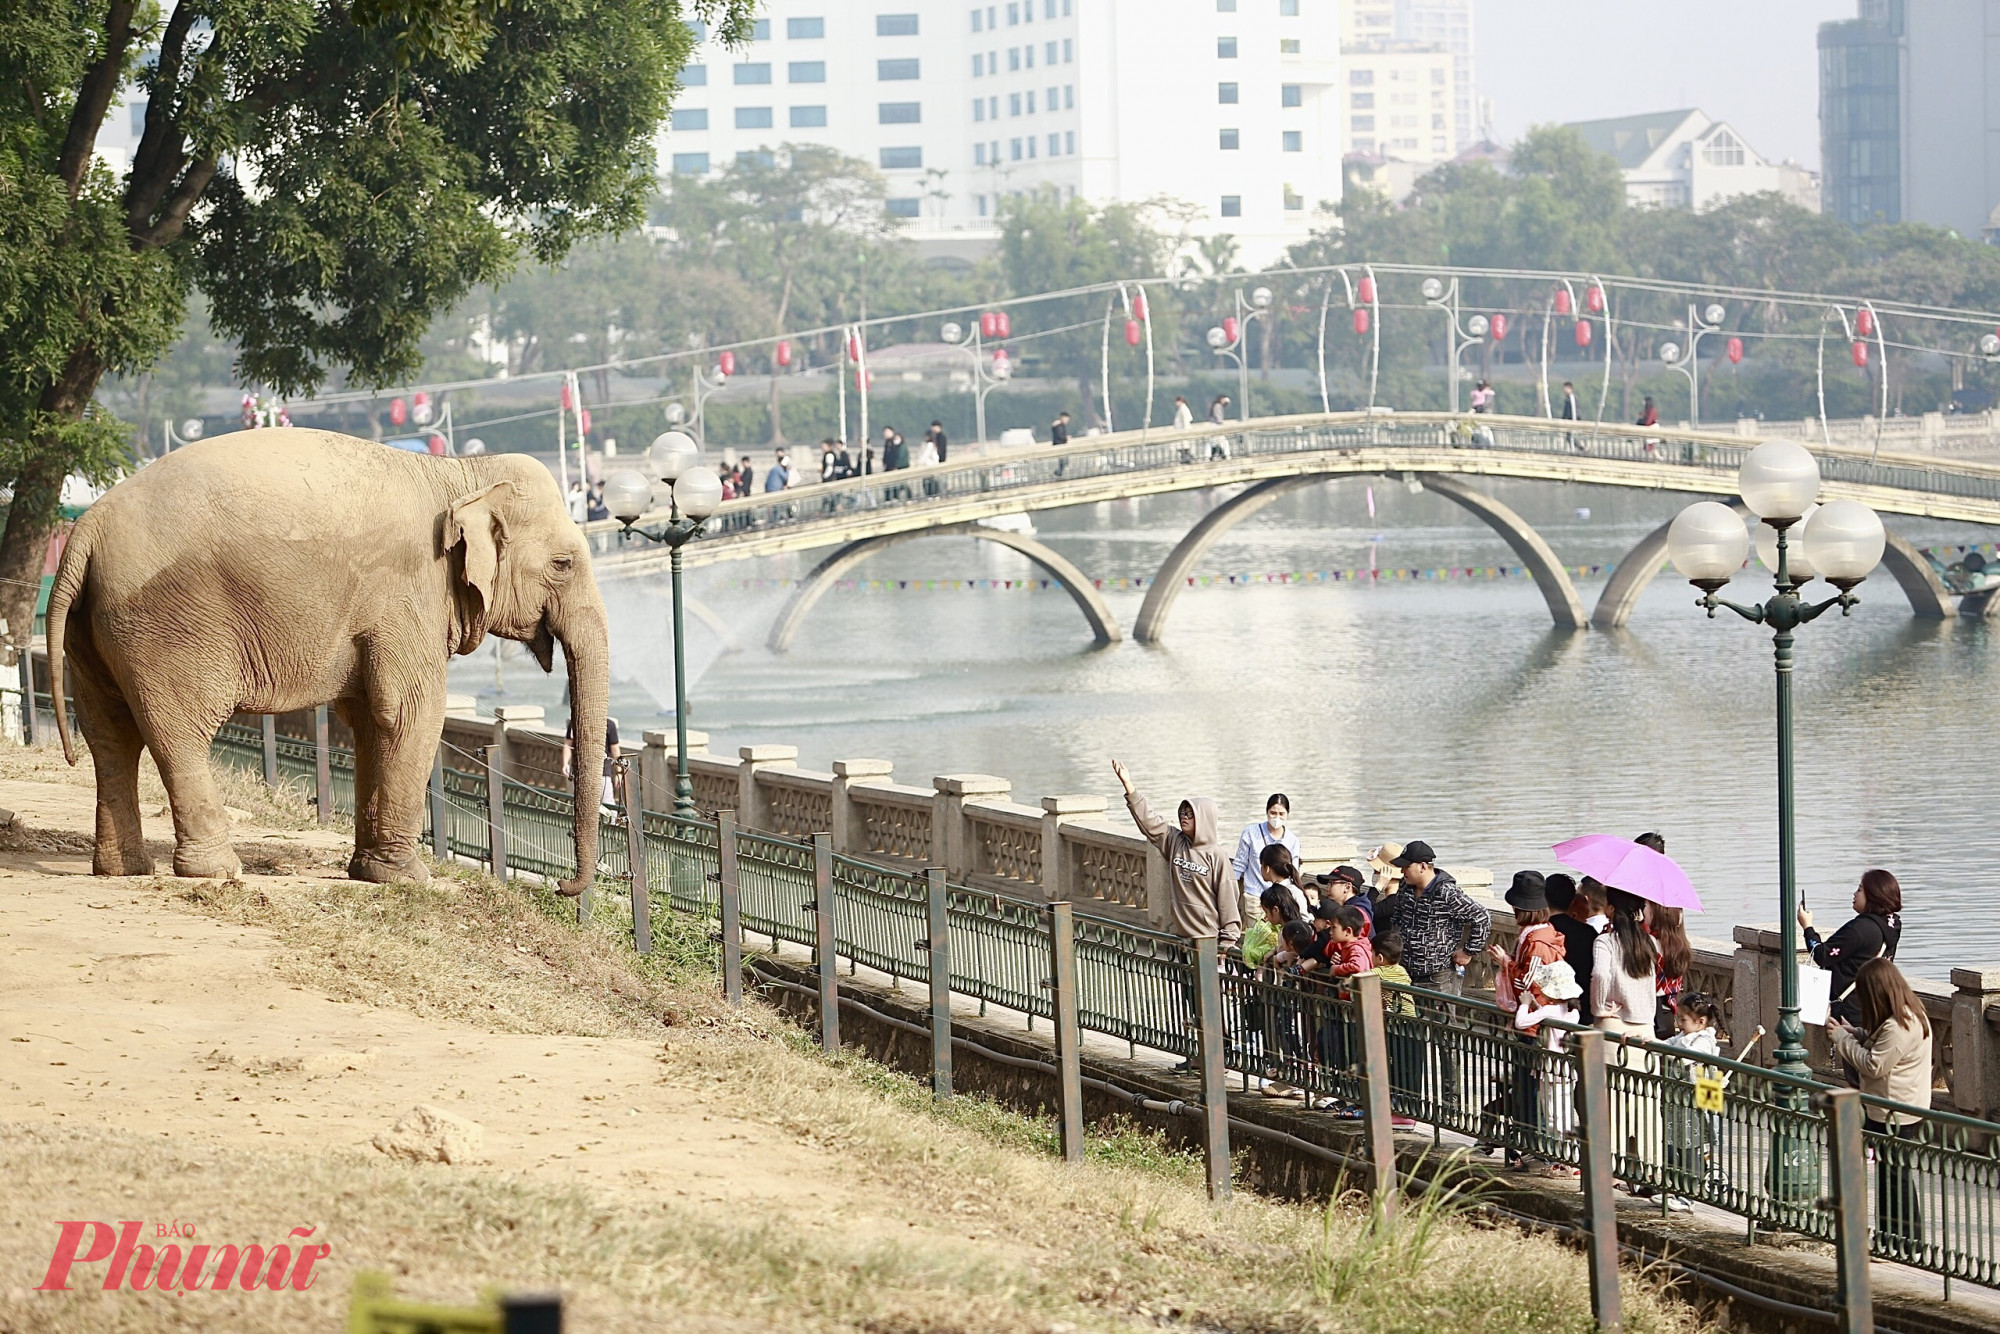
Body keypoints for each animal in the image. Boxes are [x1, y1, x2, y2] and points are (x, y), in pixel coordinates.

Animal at [45, 428, 608, 892]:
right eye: (563, 564)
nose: (563, 887)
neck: (459, 473)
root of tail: (86, 532)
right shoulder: (408, 596)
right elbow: (410, 714)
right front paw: (408, 879)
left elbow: (368, 719)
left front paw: (368, 872)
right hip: (165, 628)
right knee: (178, 733)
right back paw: (217, 872)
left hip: (91, 629)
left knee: (110, 735)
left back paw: (124, 869)